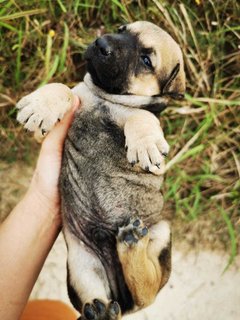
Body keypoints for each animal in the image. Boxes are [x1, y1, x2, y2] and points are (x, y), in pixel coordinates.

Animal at [17, 21, 186, 318]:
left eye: (146, 60)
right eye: (121, 28)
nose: (101, 44)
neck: (106, 98)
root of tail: (122, 300)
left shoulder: (145, 124)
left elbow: (142, 116)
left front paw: (145, 142)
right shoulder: (54, 125)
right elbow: (63, 89)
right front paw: (40, 105)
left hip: (162, 231)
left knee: (147, 292)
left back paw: (131, 242)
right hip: (81, 266)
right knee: (108, 296)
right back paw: (101, 309)